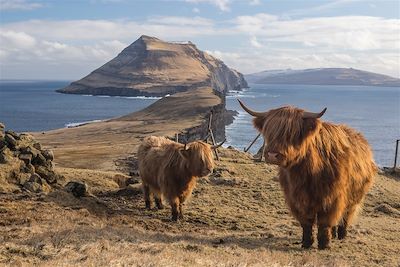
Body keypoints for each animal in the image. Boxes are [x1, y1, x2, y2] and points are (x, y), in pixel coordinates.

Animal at [239, 99, 376, 250]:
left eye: (291, 132)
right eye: (269, 131)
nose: (272, 155)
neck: (307, 172)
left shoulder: (332, 198)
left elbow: (325, 222)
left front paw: (324, 244)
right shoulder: (296, 198)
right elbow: (306, 222)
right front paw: (306, 242)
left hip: (354, 197)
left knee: (345, 216)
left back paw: (341, 235)